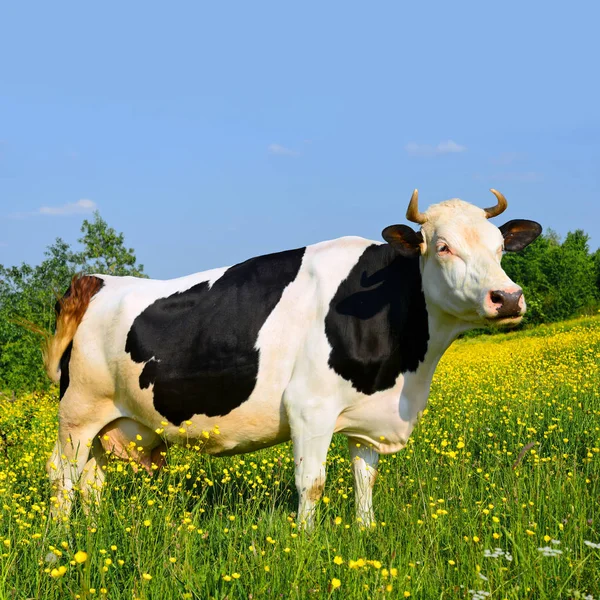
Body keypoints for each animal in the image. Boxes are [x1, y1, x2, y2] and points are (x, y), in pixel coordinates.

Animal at [45, 190, 544, 524]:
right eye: (442, 246)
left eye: (500, 247)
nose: (508, 297)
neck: (405, 373)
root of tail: (96, 281)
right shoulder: (310, 408)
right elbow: (312, 484)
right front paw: (306, 545)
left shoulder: (366, 416)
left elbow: (365, 481)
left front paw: (366, 533)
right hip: (78, 413)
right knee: (63, 475)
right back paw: (59, 540)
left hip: (113, 421)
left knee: (92, 480)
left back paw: (92, 533)